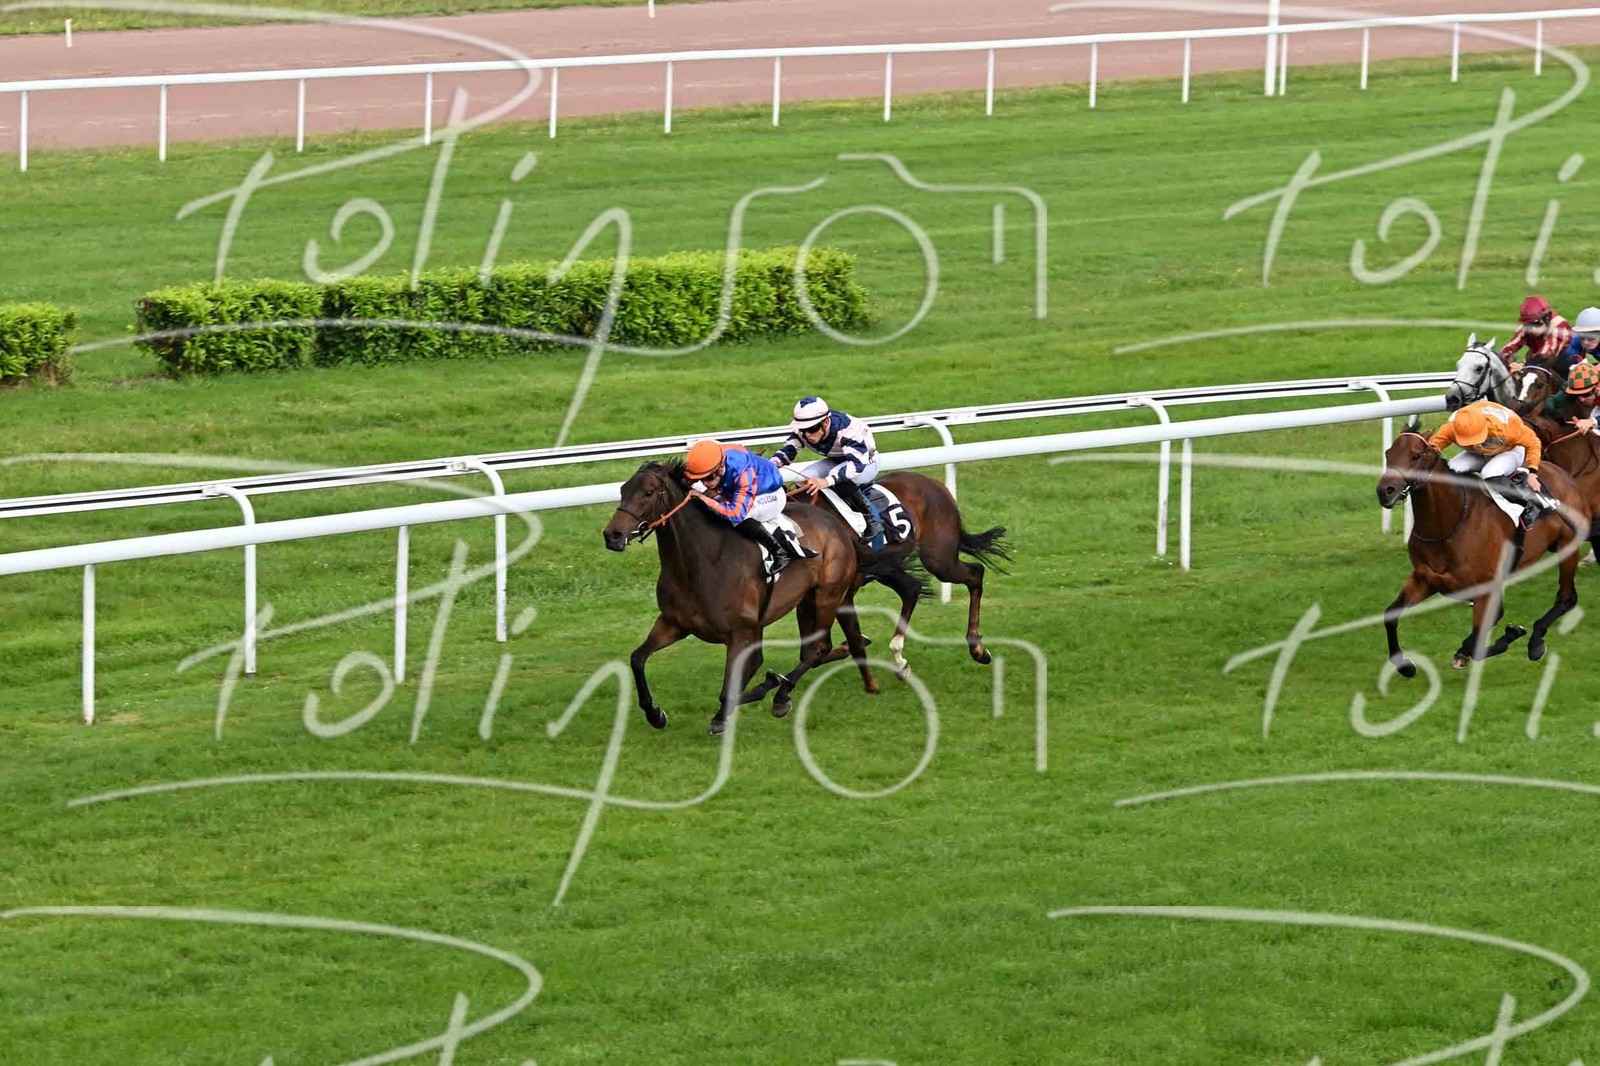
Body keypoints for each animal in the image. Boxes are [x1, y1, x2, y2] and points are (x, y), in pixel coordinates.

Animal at [602, 460, 928, 735]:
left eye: (647, 493)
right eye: (623, 490)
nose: (612, 535)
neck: (700, 562)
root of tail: (841, 528)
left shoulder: (743, 633)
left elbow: (730, 689)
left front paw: (735, 708)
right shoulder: (674, 623)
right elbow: (637, 659)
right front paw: (655, 714)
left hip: (827, 594)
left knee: (817, 649)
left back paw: (782, 694)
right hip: (807, 601)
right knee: (817, 649)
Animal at [791, 470, 1010, 676]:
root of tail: (936, 484)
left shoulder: (841, 592)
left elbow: (820, 648)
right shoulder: (809, 597)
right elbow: (809, 651)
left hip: (938, 559)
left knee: (974, 573)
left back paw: (977, 649)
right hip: (888, 567)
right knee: (912, 588)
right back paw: (900, 658)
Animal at [1376, 424, 1583, 672]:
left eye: (1415, 456)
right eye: (1388, 453)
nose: (1385, 491)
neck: (1448, 524)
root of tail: (1563, 474)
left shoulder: (1486, 589)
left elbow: (1479, 641)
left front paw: (1509, 634)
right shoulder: (1425, 579)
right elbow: (1390, 615)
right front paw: (1404, 665)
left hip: (1567, 546)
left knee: (1567, 598)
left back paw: (1535, 642)